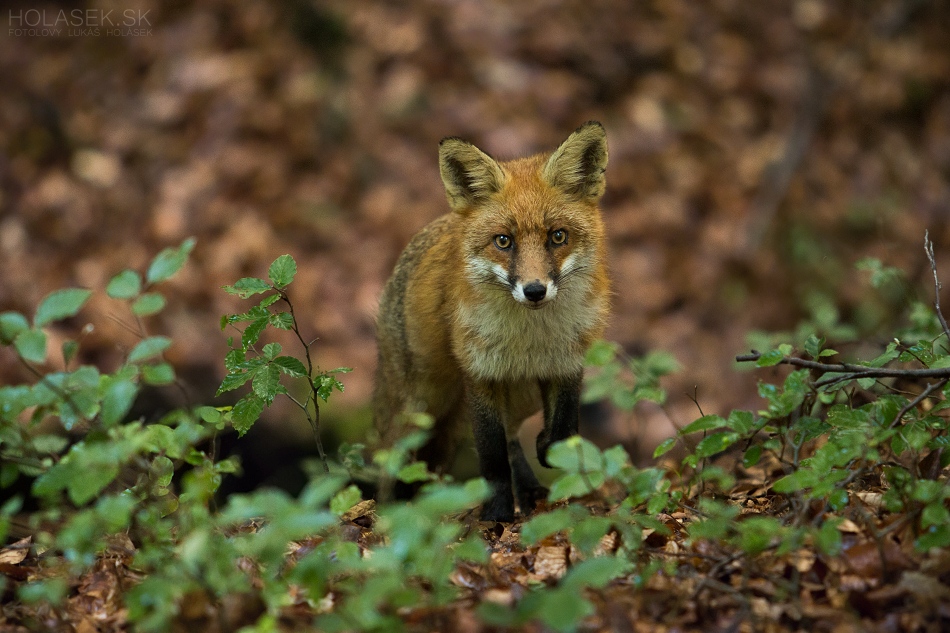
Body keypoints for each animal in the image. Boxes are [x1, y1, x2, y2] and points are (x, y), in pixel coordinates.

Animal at [372, 121, 608, 520]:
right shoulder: (481, 373)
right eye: (503, 241)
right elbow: (491, 454)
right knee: (394, 460)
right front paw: (496, 515)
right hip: (419, 407)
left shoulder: (567, 363)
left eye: (558, 236)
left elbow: (560, 433)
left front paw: (546, 451)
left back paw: (529, 490)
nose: (534, 290)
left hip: (520, 396)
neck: (532, 338)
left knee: (513, 436)